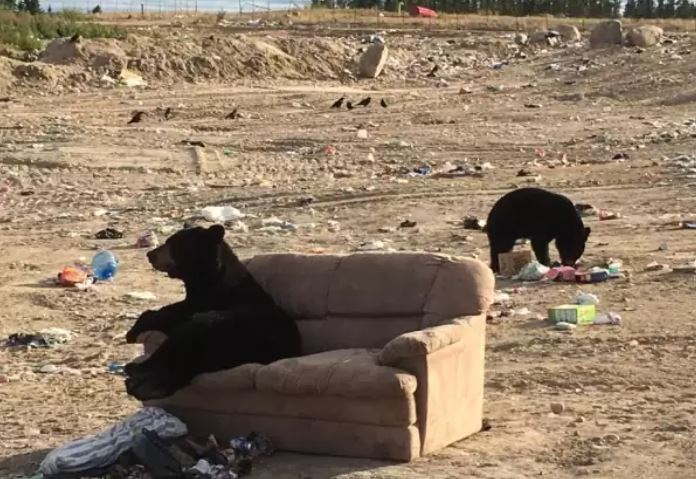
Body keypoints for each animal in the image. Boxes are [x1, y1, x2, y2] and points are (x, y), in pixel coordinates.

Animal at [126, 225, 300, 402]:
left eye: (174, 243)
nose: (150, 254)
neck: (208, 280)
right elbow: (168, 310)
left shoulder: (208, 301)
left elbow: (171, 315)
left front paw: (132, 332)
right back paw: (137, 371)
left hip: (224, 331)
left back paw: (144, 383)